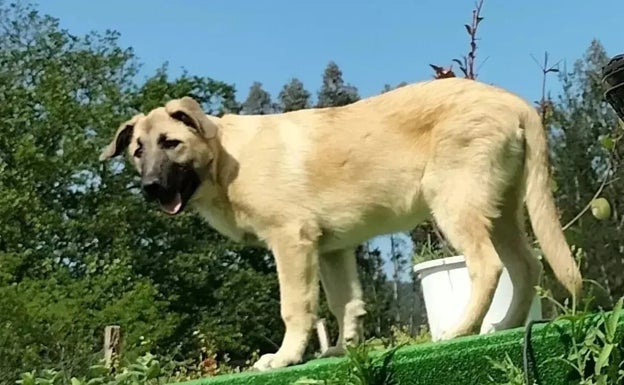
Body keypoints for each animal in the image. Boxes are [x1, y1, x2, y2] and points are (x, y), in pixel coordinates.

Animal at [100, 77, 584, 368]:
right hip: (500, 209)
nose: (150, 188)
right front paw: (340, 351)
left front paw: (285, 357)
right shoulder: (331, 249)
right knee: (526, 266)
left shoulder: (291, 242)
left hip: (455, 202)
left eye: (171, 143)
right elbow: (344, 303)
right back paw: (505, 326)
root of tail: (513, 101)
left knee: (488, 266)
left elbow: (295, 307)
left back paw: (460, 331)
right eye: (138, 151)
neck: (223, 161)